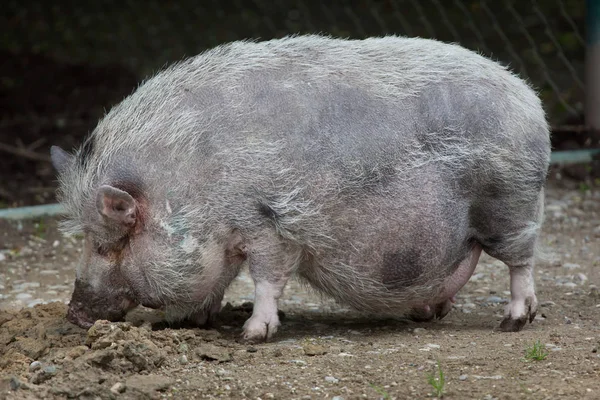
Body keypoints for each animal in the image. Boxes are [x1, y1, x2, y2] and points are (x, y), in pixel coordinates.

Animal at [50, 34, 548, 340]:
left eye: (109, 242)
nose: (73, 313)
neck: (189, 185)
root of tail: (527, 96)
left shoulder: (268, 224)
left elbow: (266, 278)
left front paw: (253, 335)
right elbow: (221, 278)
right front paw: (194, 322)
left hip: (511, 202)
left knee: (520, 262)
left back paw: (512, 323)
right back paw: (426, 313)